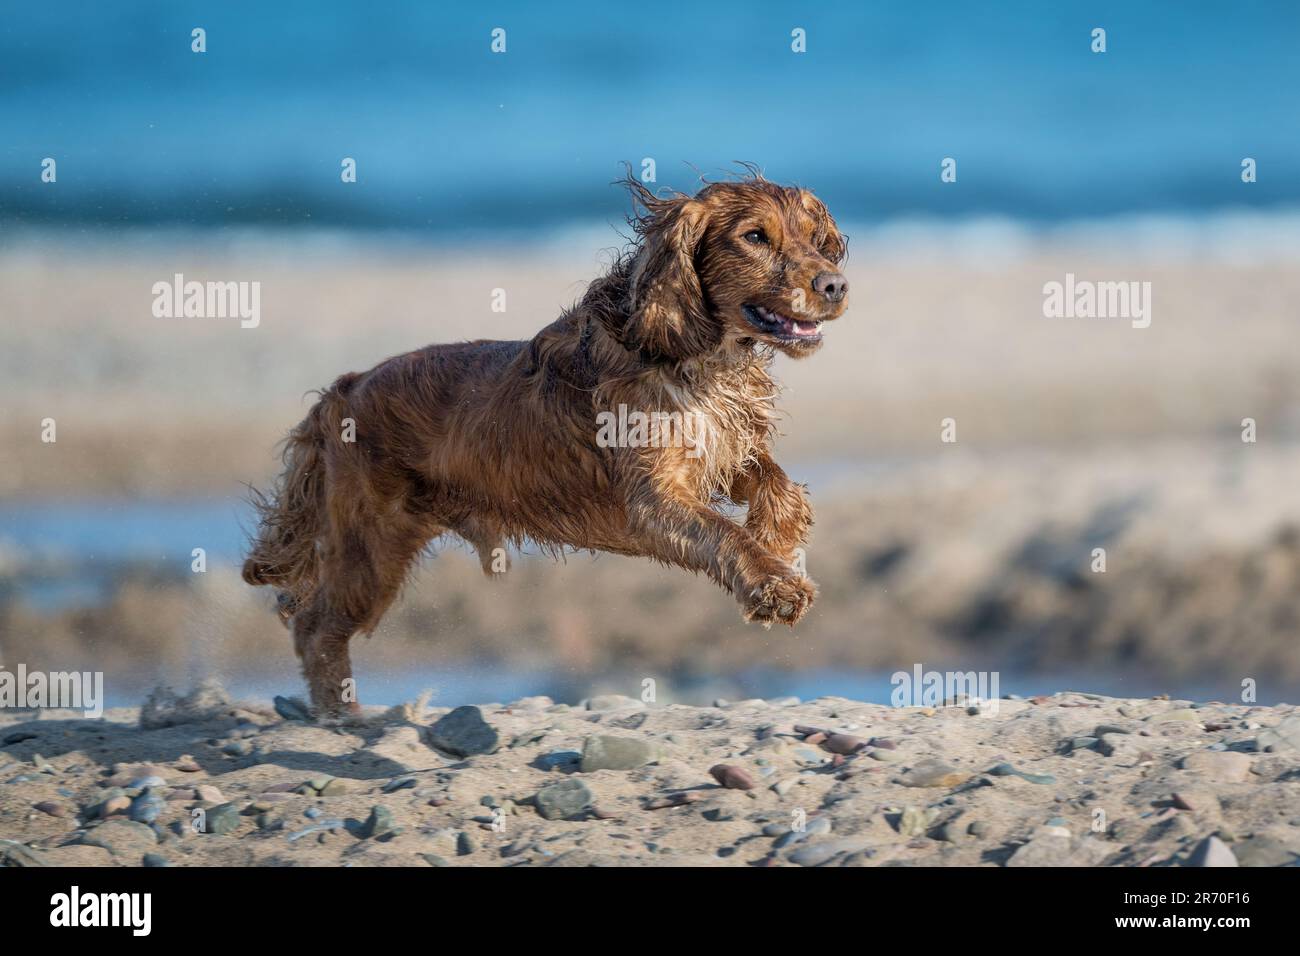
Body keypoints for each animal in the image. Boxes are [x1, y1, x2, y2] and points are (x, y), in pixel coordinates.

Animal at [245, 171, 852, 712]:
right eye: (755, 237)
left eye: (813, 237)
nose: (835, 285)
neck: (693, 353)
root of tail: (345, 388)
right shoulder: (652, 497)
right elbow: (724, 533)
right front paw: (776, 586)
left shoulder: (723, 451)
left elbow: (779, 487)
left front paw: (778, 544)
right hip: (369, 549)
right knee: (314, 627)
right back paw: (338, 717)